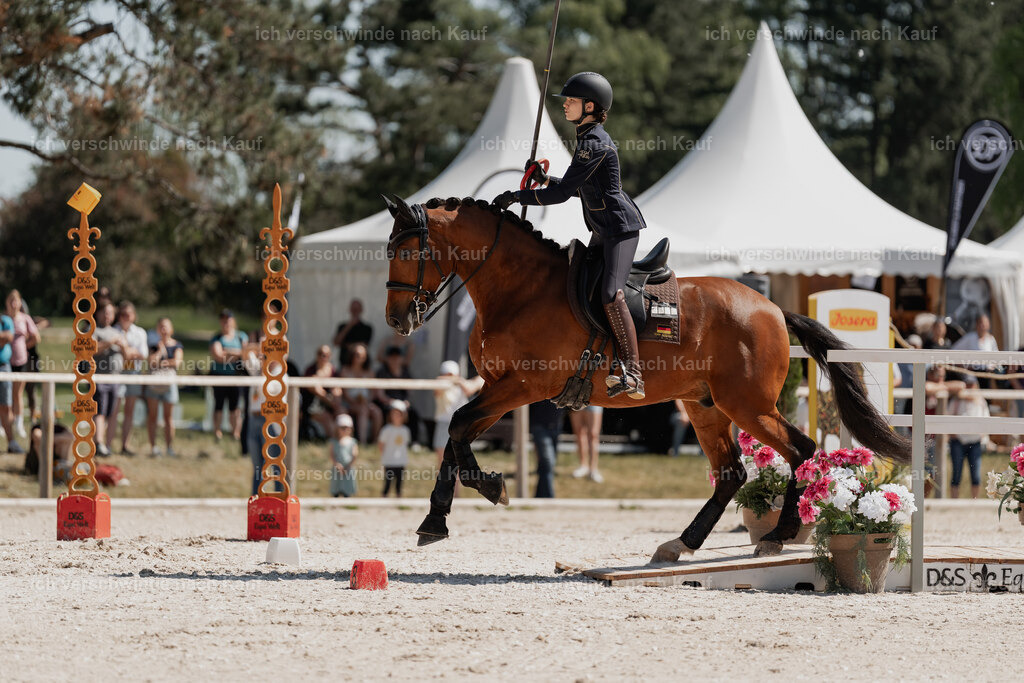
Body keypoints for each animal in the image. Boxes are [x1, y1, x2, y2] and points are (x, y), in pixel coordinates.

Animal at [381, 195, 910, 562]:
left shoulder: (522, 387)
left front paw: (491, 488)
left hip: (747, 405)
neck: (520, 288)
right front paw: (437, 518)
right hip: (704, 405)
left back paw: (776, 537)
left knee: (800, 449)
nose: (395, 320)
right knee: (732, 473)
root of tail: (774, 308)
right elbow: (456, 434)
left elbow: (457, 429)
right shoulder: (498, 388)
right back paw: (682, 542)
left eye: (404, 254)